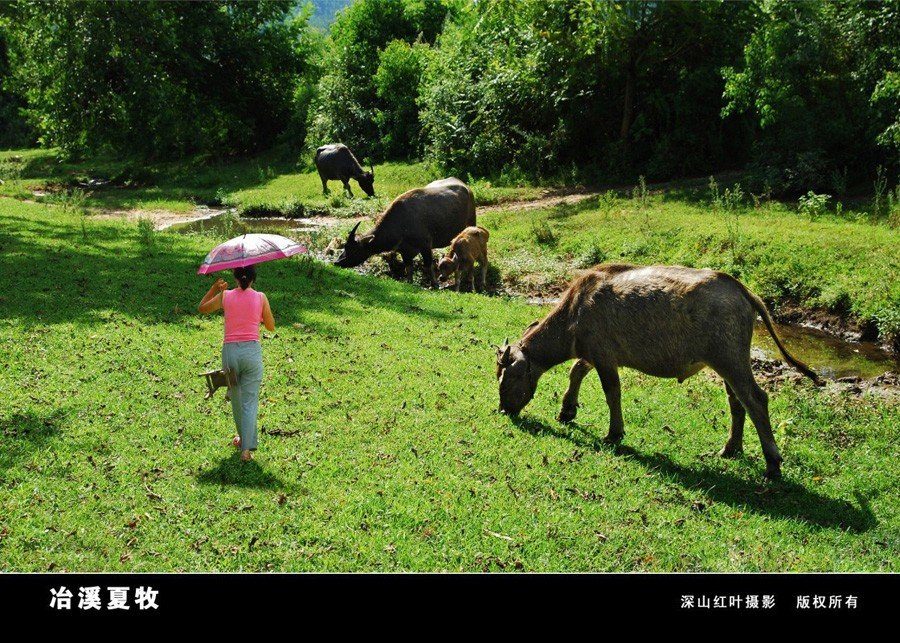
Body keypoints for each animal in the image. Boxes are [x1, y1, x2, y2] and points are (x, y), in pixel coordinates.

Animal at [336, 176, 478, 286]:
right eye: (345, 246)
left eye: (353, 249)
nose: (337, 262)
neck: (401, 223)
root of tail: (466, 187)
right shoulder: (405, 252)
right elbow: (409, 268)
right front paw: (410, 282)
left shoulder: (426, 246)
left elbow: (428, 265)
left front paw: (434, 284)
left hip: (472, 221)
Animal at [496, 264, 820, 480]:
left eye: (508, 379)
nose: (503, 409)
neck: (575, 312)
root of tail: (741, 289)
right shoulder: (593, 355)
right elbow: (576, 371)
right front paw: (567, 411)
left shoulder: (604, 358)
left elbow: (611, 393)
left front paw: (614, 433)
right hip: (727, 364)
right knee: (736, 402)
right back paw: (731, 449)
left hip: (730, 359)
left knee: (755, 399)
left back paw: (772, 464)